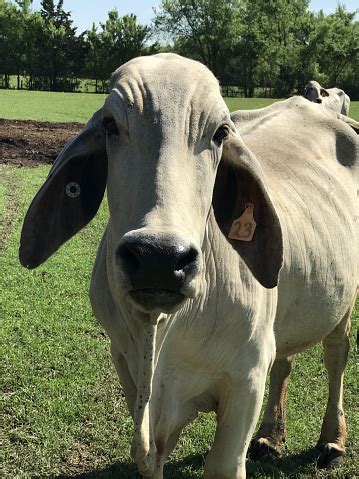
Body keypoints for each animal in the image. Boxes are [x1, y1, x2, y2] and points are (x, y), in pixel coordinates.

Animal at [20, 54, 359, 478]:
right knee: (285, 360)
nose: (159, 258)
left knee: (336, 355)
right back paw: (270, 436)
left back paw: (332, 440)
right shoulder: (127, 367)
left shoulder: (246, 382)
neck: (160, 333)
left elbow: (224, 463)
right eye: (111, 125)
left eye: (220, 132)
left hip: (344, 302)